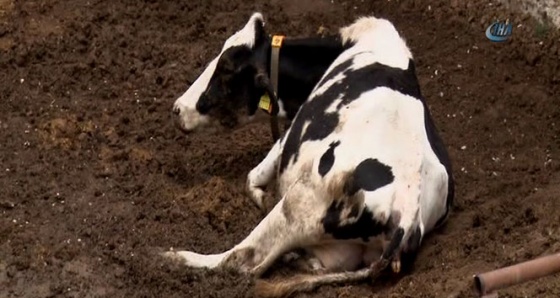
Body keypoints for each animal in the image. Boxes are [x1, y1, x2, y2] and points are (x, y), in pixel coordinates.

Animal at [164, 14, 452, 298]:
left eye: (225, 69)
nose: (178, 108)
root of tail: (408, 215)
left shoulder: (287, 137)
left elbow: (253, 176)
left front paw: (262, 198)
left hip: (297, 205)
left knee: (242, 258)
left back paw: (176, 258)